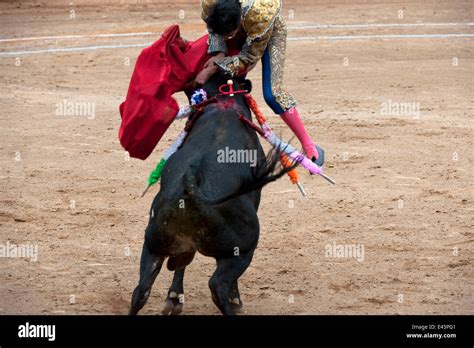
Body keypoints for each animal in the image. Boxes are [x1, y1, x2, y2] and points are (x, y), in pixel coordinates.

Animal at [128, 73, 294, 316]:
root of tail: (191, 182)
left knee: (141, 290)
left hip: (152, 243)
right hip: (243, 249)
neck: (221, 101)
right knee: (217, 285)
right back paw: (233, 304)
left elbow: (181, 263)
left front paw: (174, 298)